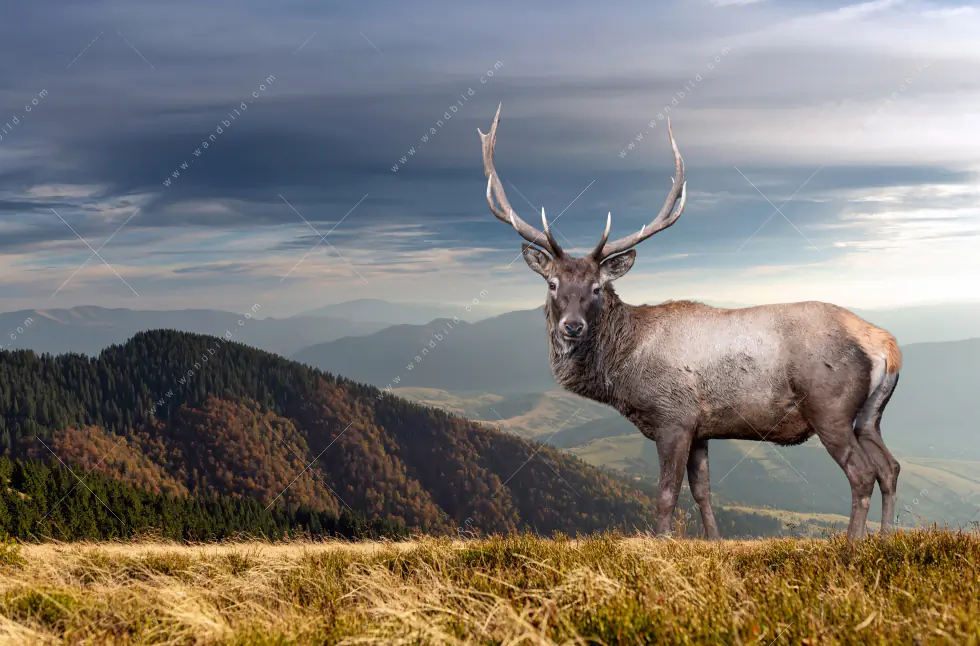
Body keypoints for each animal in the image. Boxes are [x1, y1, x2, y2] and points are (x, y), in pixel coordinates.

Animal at [478, 104, 902, 540]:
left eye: (597, 287)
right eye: (552, 283)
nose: (572, 327)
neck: (623, 372)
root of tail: (886, 346)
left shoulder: (674, 418)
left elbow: (666, 494)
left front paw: (662, 542)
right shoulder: (702, 429)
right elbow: (702, 492)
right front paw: (713, 541)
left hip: (830, 408)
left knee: (862, 474)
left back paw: (853, 543)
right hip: (870, 416)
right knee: (890, 467)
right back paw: (886, 536)